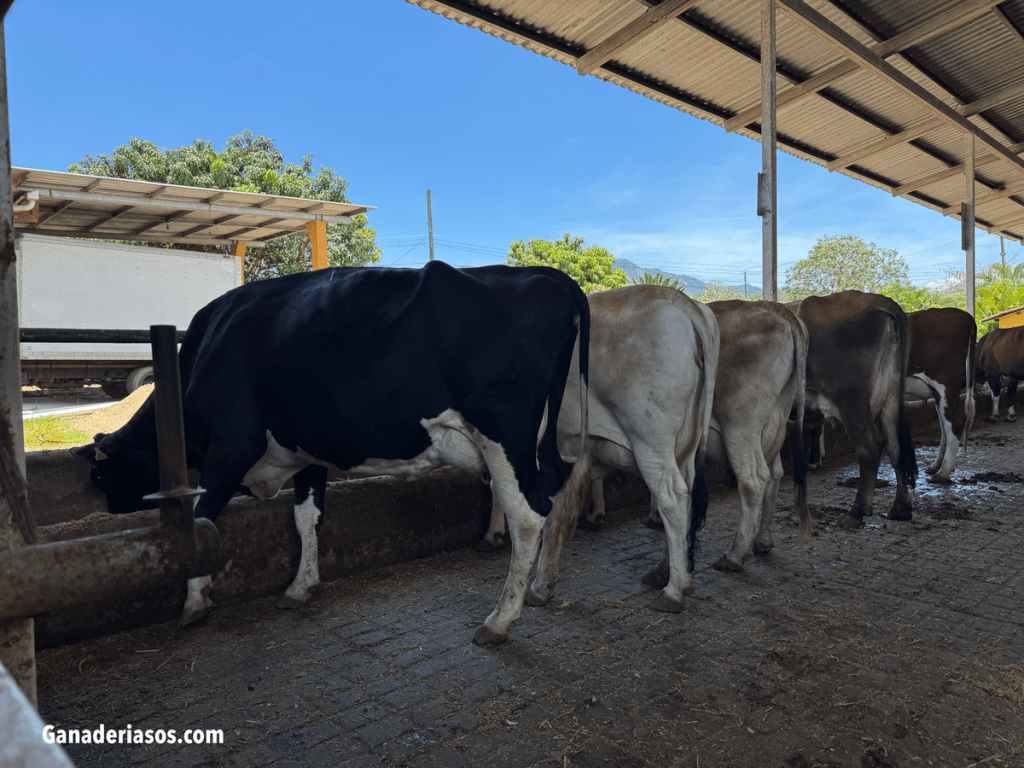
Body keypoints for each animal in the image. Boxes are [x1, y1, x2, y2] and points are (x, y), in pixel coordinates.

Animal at [71, 261, 592, 646]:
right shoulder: (307, 453)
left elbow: (204, 516)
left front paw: (195, 601)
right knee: (560, 493)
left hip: (503, 432)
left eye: (101, 478)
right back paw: (541, 587)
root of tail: (547, 275)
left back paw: (500, 619)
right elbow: (307, 518)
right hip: (545, 436)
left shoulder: (233, 444)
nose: (109, 508)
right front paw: (301, 586)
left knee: (530, 514)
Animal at [481, 284, 719, 613]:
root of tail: (683, 301)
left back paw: (674, 590)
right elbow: (555, 512)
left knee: (673, 498)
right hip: (685, 444)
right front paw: (542, 585)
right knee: (686, 498)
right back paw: (665, 571)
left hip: (651, 442)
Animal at [791, 291, 918, 528]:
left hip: (851, 399)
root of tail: (878, 300)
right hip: (891, 396)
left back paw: (856, 511)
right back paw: (900, 507)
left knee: (870, 445)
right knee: (895, 446)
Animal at [904, 308, 976, 483]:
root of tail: (965, 316)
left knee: (955, 423)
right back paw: (936, 465)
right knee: (945, 427)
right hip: (939, 393)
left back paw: (943, 472)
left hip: (945, 385)